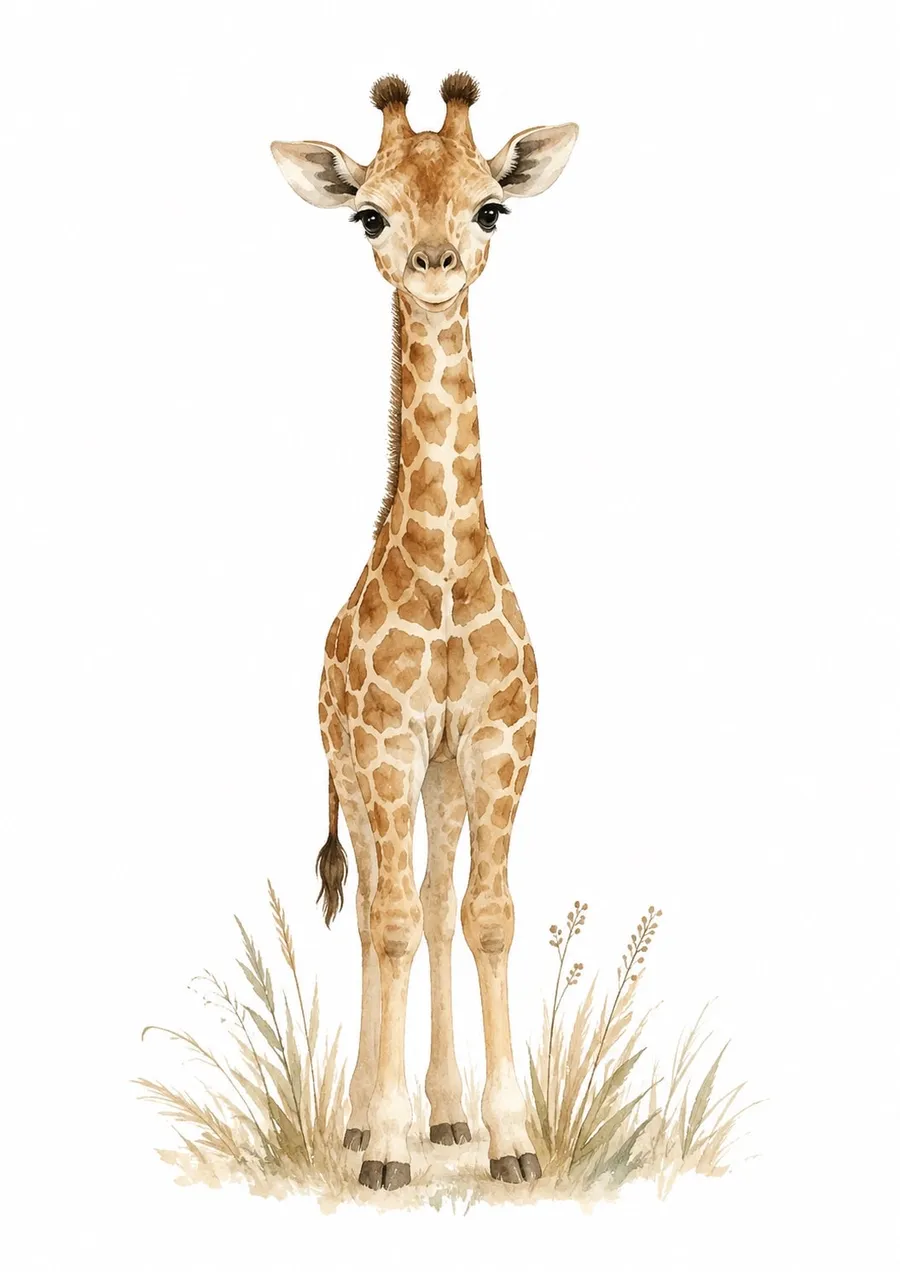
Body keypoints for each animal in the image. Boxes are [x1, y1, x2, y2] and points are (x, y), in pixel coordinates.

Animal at [271, 72, 577, 1191]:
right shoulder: (385, 745)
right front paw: (386, 1146)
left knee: (438, 900)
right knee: (375, 912)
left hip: (436, 778)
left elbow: (484, 915)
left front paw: (510, 1140)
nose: (435, 266)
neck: (444, 574)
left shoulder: (494, 742)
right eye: (371, 214)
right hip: (357, 773)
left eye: (491, 208)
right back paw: (369, 1124)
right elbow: (393, 923)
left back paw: (447, 1119)